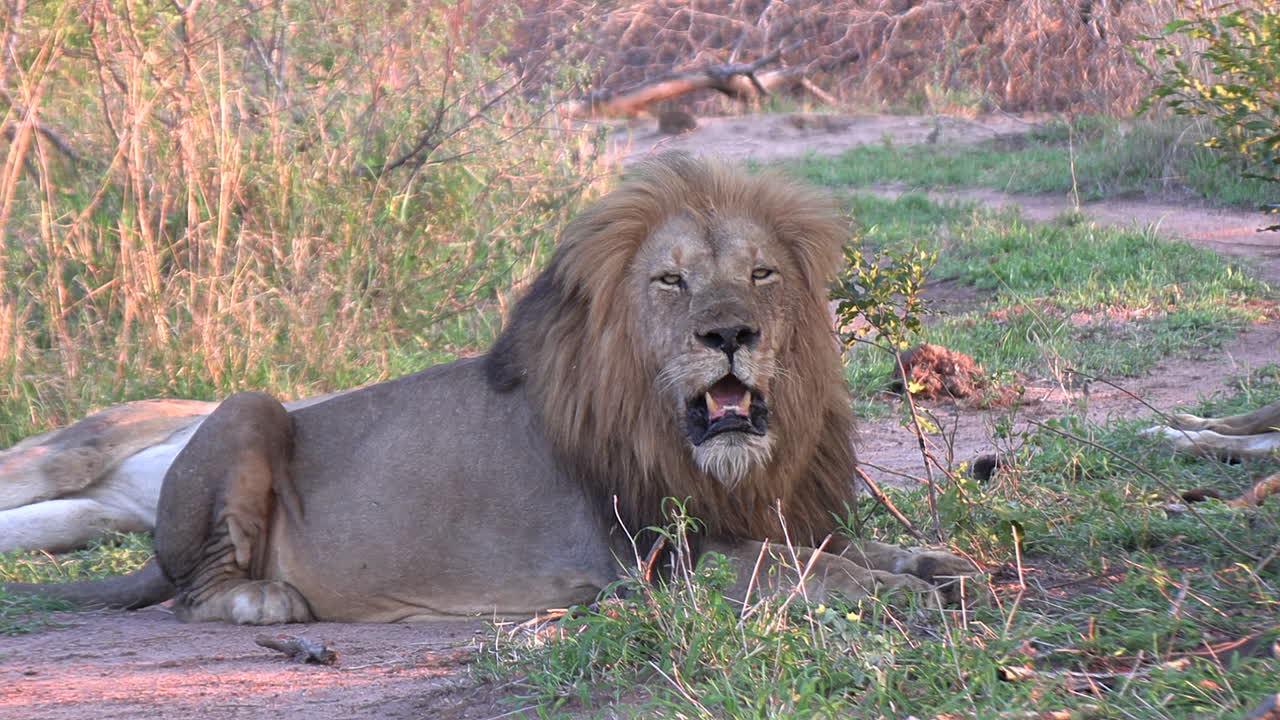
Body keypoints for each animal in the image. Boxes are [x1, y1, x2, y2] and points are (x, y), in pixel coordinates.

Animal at [5, 154, 974, 624]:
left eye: (761, 273)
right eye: (672, 281)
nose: (730, 334)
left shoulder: (772, 514)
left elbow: (845, 548)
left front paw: (940, 564)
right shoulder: (661, 561)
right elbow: (800, 567)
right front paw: (904, 595)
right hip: (247, 405)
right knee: (194, 592)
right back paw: (265, 599)